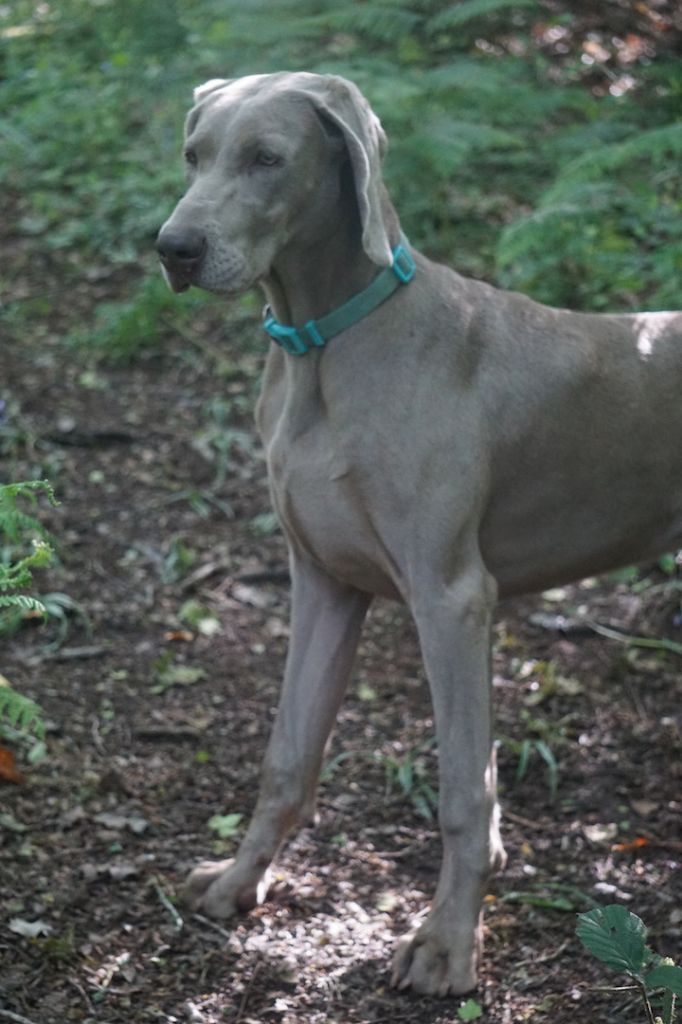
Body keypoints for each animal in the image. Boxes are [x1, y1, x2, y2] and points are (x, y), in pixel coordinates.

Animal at [156, 71, 682, 996]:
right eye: (194, 154)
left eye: (267, 159)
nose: (172, 248)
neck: (325, 344)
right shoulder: (323, 583)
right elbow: (287, 756)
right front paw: (237, 881)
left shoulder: (453, 599)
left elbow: (464, 794)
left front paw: (447, 945)